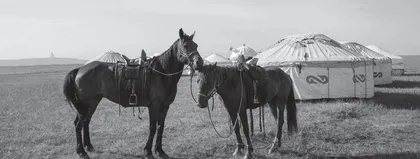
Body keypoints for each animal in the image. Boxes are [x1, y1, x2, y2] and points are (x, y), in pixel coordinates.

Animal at [62, 28, 205, 159]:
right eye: (185, 45)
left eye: (196, 45)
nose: (199, 62)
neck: (161, 73)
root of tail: (80, 69)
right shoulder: (154, 106)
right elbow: (152, 127)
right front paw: (148, 152)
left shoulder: (165, 107)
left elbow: (161, 127)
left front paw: (160, 151)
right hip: (84, 105)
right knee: (79, 125)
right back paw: (81, 152)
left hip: (93, 103)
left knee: (86, 122)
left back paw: (89, 147)